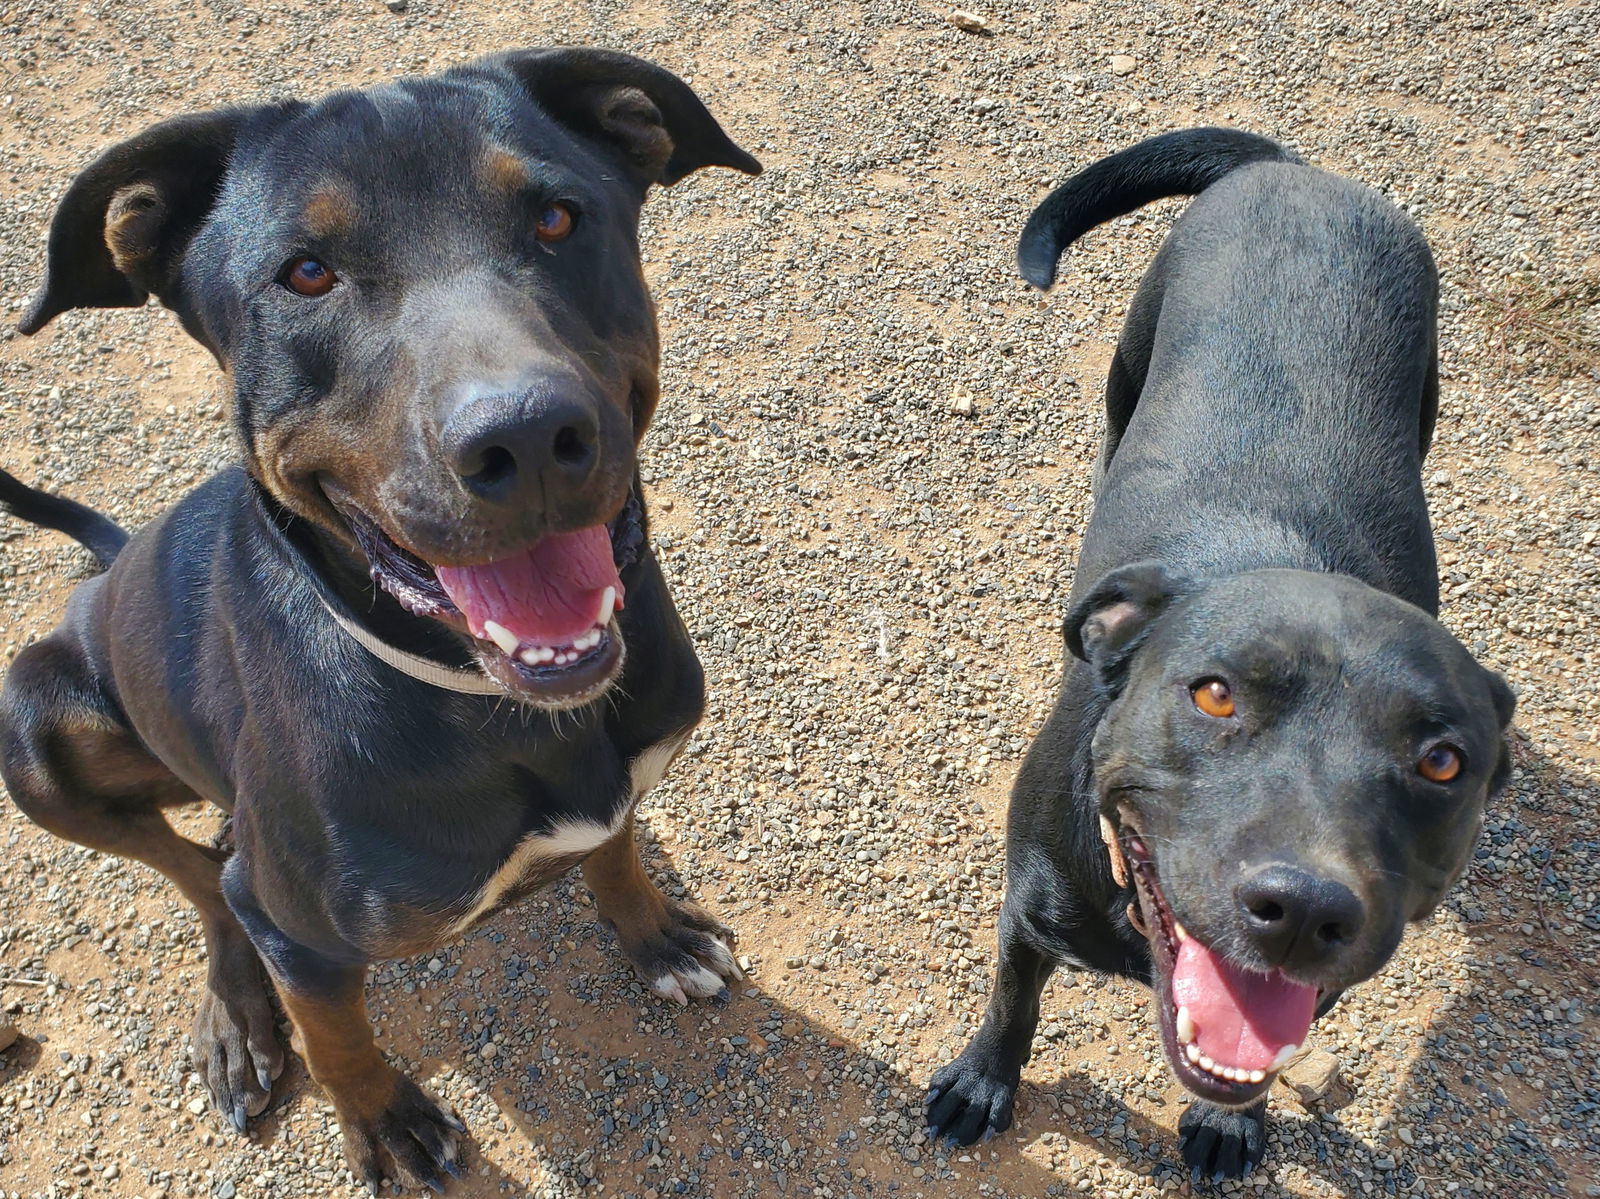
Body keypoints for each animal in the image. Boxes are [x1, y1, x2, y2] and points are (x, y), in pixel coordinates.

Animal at [1, 44, 761, 1190]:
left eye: (558, 218)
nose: (526, 437)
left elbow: (617, 848)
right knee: (201, 873)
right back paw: (237, 1014)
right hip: (36, 734)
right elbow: (337, 1033)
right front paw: (384, 1119)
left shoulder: (621, 786)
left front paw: (656, 936)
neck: (502, 705)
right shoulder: (305, 937)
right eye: (305, 273)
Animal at [928, 131, 1510, 1178]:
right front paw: (982, 1081)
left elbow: (1274, 1049)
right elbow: (1011, 1000)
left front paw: (1235, 1119)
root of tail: (1297, 168)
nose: (1307, 905)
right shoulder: (1026, 906)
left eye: (1443, 761)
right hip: (1131, 357)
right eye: (1214, 695)